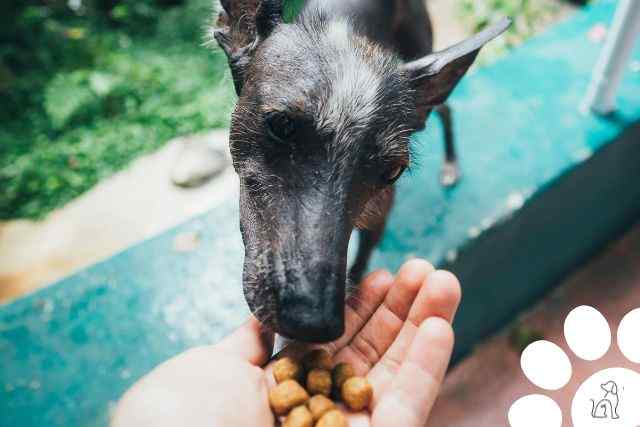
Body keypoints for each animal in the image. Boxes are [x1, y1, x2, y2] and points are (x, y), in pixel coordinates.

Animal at [211, 0, 510, 342]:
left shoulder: (378, 218)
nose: (314, 322)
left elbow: (359, 266)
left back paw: (450, 164)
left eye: (392, 171)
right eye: (281, 125)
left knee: (445, 110)